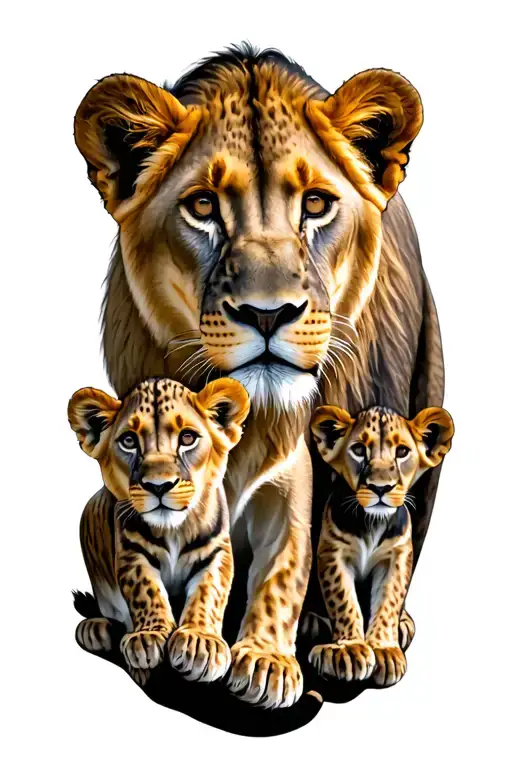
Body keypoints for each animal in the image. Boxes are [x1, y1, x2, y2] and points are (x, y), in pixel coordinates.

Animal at [73, 44, 444, 709]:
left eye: (316, 204)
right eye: (202, 206)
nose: (268, 313)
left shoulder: (292, 488)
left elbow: (287, 567)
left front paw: (273, 657)